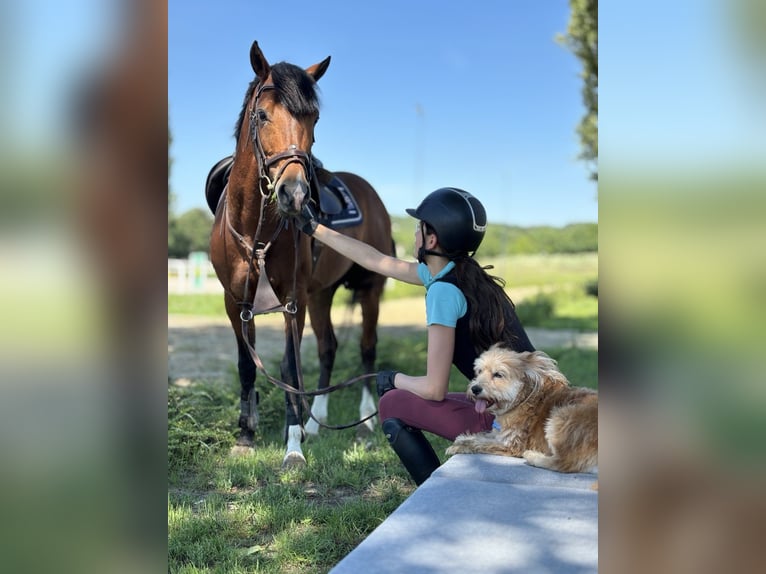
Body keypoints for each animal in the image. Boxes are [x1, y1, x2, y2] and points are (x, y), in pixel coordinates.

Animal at [208, 42, 396, 470]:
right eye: (262, 115)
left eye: (314, 118)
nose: (294, 194)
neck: (255, 229)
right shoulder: (235, 301)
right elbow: (248, 365)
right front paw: (246, 436)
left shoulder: (293, 301)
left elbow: (289, 367)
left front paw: (293, 444)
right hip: (322, 294)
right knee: (328, 349)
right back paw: (317, 420)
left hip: (369, 289)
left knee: (367, 347)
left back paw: (365, 420)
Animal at [450, 346, 600, 472]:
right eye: (479, 371)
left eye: (498, 374)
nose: (475, 389)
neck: (520, 400)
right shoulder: (500, 434)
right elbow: (483, 435)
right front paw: (463, 439)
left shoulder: (512, 444)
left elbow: (481, 443)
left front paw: (457, 446)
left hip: (560, 417)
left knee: (564, 463)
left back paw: (533, 456)